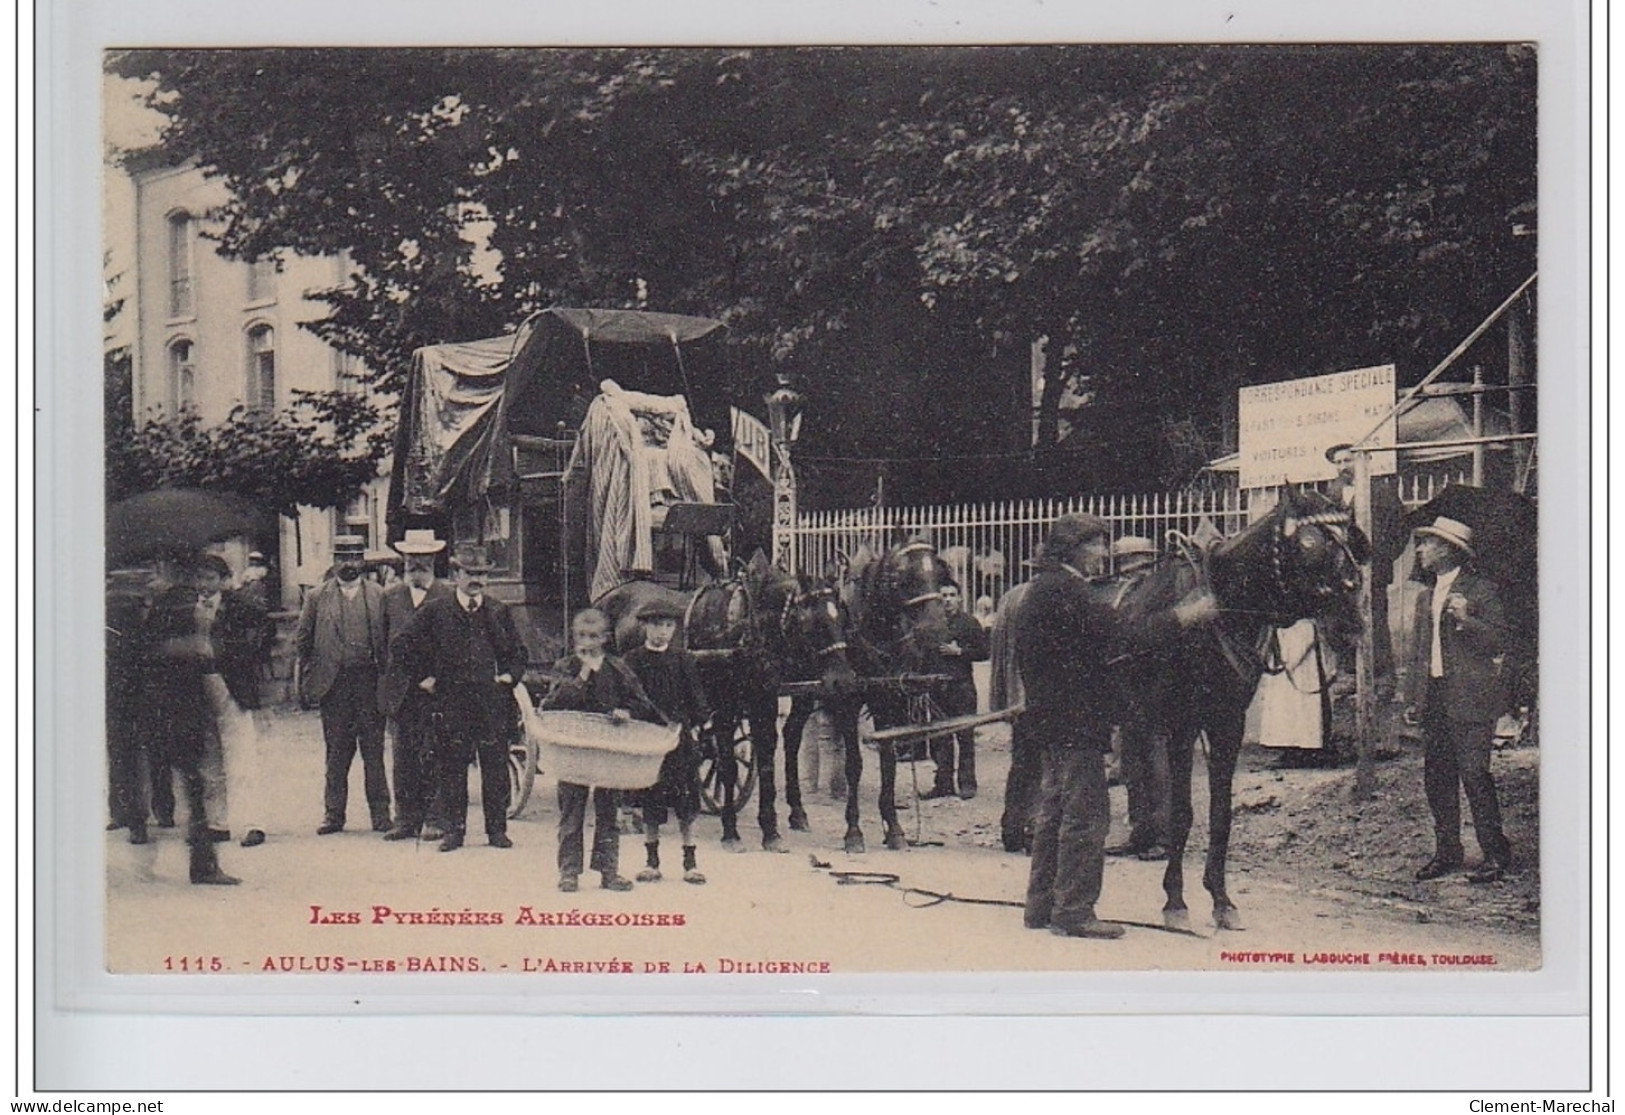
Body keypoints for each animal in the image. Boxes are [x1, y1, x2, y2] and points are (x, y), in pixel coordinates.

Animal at [1111, 487, 1365, 936]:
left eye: (1351, 540)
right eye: (1307, 544)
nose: (1350, 617)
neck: (1220, 606)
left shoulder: (1227, 720)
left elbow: (1221, 813)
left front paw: (1221, 899)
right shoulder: (1181, 722)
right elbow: (1182, 812)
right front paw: (1175, 901)